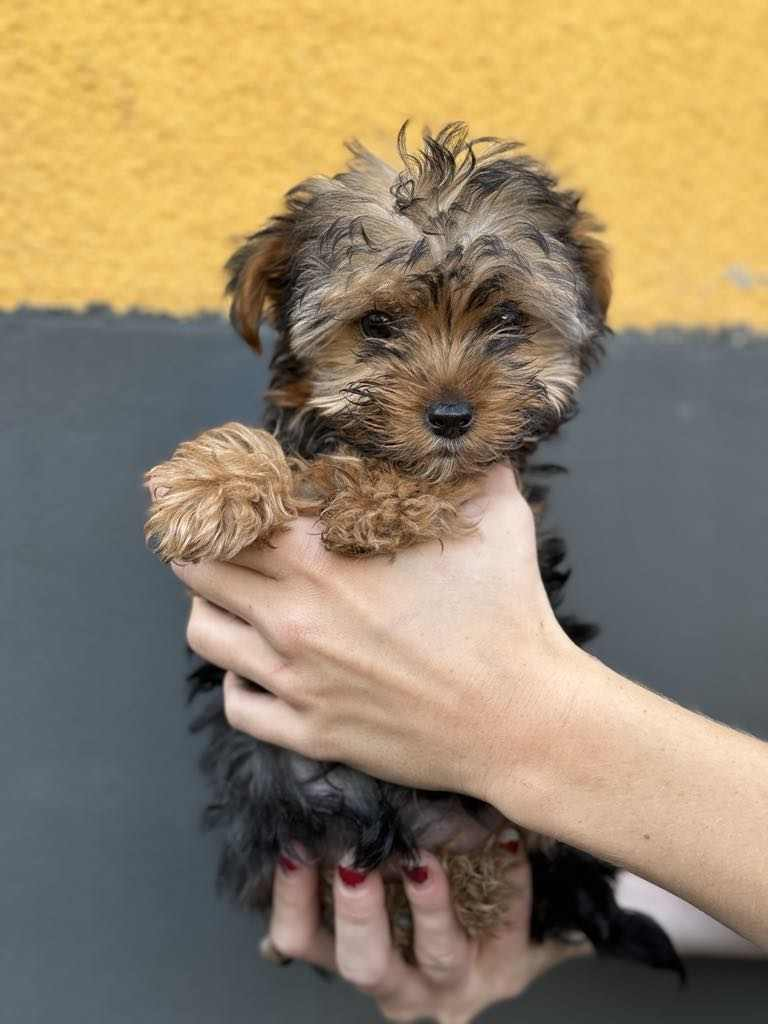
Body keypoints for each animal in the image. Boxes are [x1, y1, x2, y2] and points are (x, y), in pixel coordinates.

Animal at [145, 123, 683, 977]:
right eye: (376, 326)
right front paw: (212, 483)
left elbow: (422, 485)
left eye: (506, 319)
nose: (452, 416)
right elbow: (284, 458)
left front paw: (367, 498)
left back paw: (470, 884)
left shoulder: (498, 488)